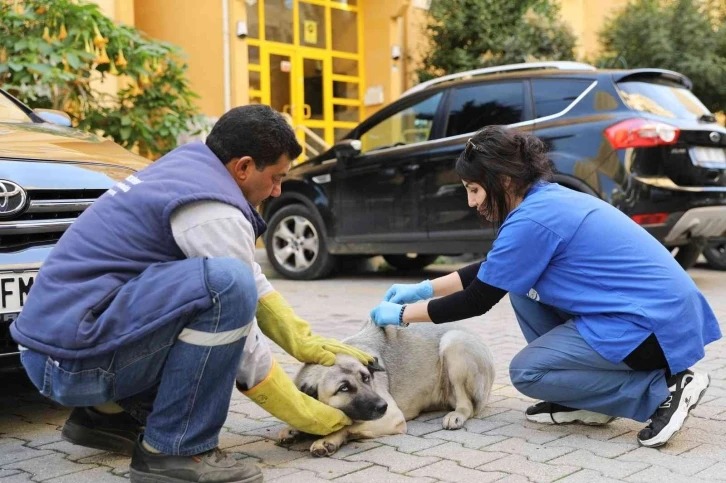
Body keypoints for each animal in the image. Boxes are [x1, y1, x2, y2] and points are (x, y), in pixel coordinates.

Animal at [282, 322, 498, 458]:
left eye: (366, 378)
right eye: (343, 388)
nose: (382, 406)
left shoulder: (392, 417)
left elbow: (348, 425)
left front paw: (328, 440)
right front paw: (294, 429)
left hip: (453, 343)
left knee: (467, 405)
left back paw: (456, 415)